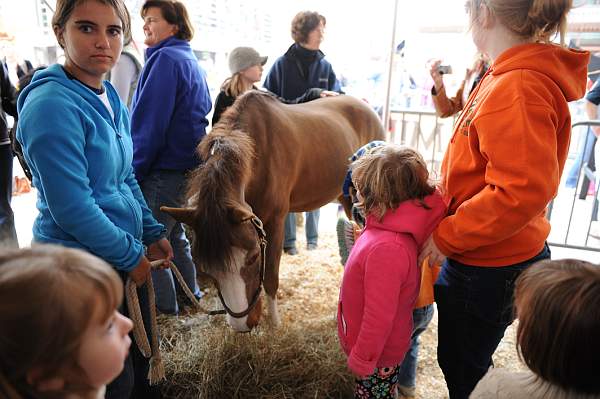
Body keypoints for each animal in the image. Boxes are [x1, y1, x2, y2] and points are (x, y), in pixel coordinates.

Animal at [163, 92, 384, 332]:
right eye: (205, 268)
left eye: (253, 257)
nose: (241, 325)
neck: (258, 152)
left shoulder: (275, 222)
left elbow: (270, 276)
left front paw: (275, 324)